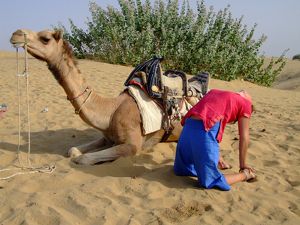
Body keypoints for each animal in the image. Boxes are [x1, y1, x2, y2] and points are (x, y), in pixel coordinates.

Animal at [9, 29, 230, 168]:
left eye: (45, 38)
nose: (16, 34)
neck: (110, 111)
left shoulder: (132, 146)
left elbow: (82, 159)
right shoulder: (107, 136)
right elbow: (73, 150)